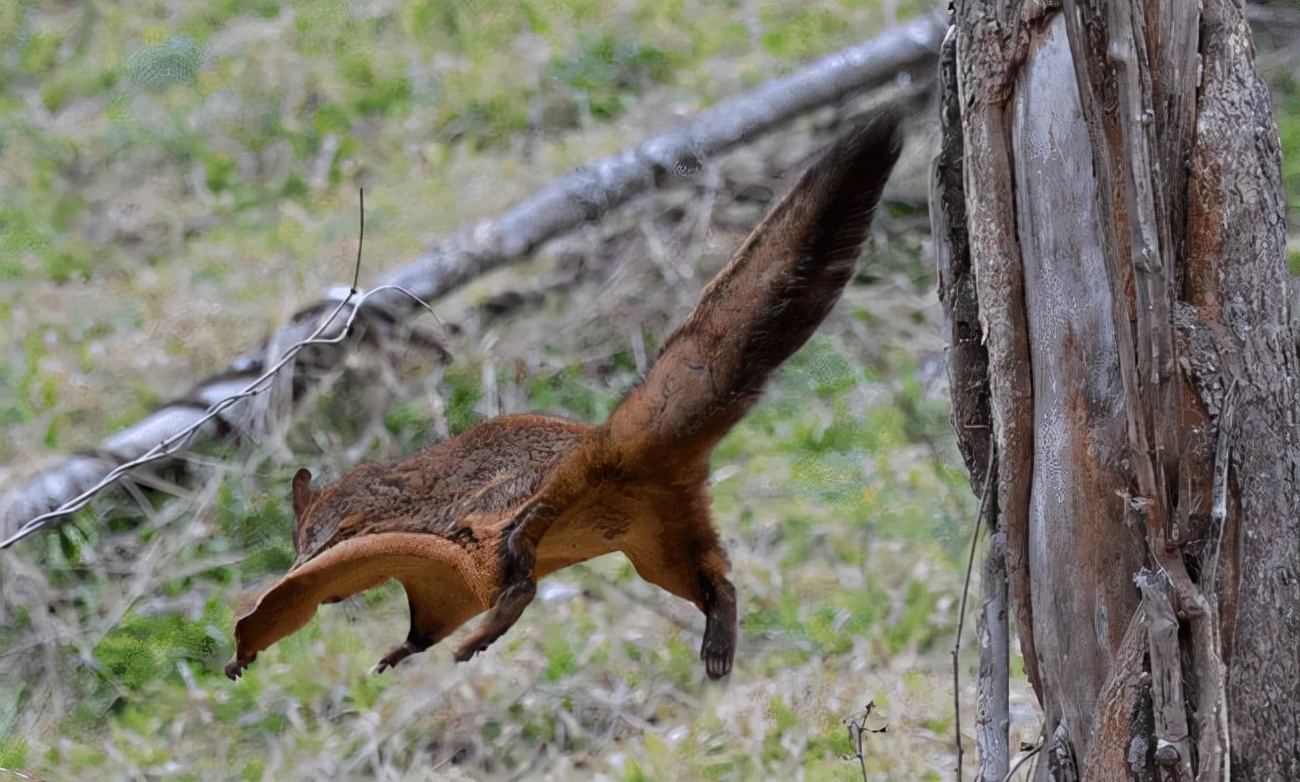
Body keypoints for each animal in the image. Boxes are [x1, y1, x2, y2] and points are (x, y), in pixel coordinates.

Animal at [226, 101, 904, 675]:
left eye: (307, 533)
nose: (297, 560)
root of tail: (606, 445)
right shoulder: (434, 584)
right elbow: (425, 620)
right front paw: (390, 651)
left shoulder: (373, 515)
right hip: (661, 541)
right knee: (718, 580)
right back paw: (717, 644)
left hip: (520, 511)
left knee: (523, 573)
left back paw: (489, 629)